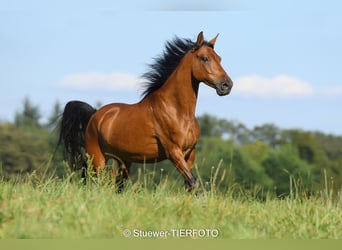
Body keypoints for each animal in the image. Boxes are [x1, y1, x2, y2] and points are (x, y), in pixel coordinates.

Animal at [58, 31, 234, 191]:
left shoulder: (190, 154)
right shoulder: (174, 152)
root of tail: (95, 115)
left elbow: (190, 186)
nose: (227, 85)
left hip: (123, 161)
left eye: (219, 58)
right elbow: (194, 184)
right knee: (93, 182)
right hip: (98, 159)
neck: (178, 112)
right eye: (204, 58)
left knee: (117, 186)